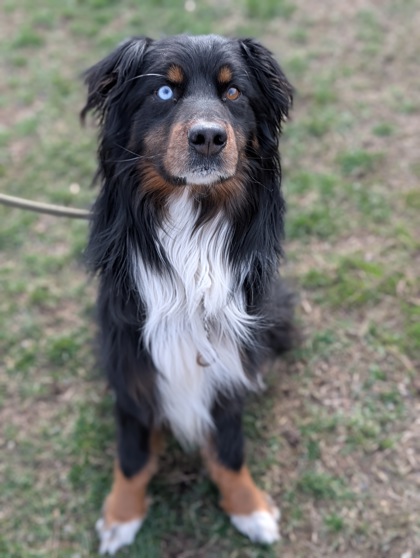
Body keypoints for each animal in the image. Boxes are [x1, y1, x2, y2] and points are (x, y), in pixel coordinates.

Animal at [81, 34, 294, 555]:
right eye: (164, 92)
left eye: (233, 92)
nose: (209, 138)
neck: (191, 219)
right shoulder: (133, 361)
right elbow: (133, 454)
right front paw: (120, 518)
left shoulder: (227, 361)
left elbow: (230, 450)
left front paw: (250, 509)